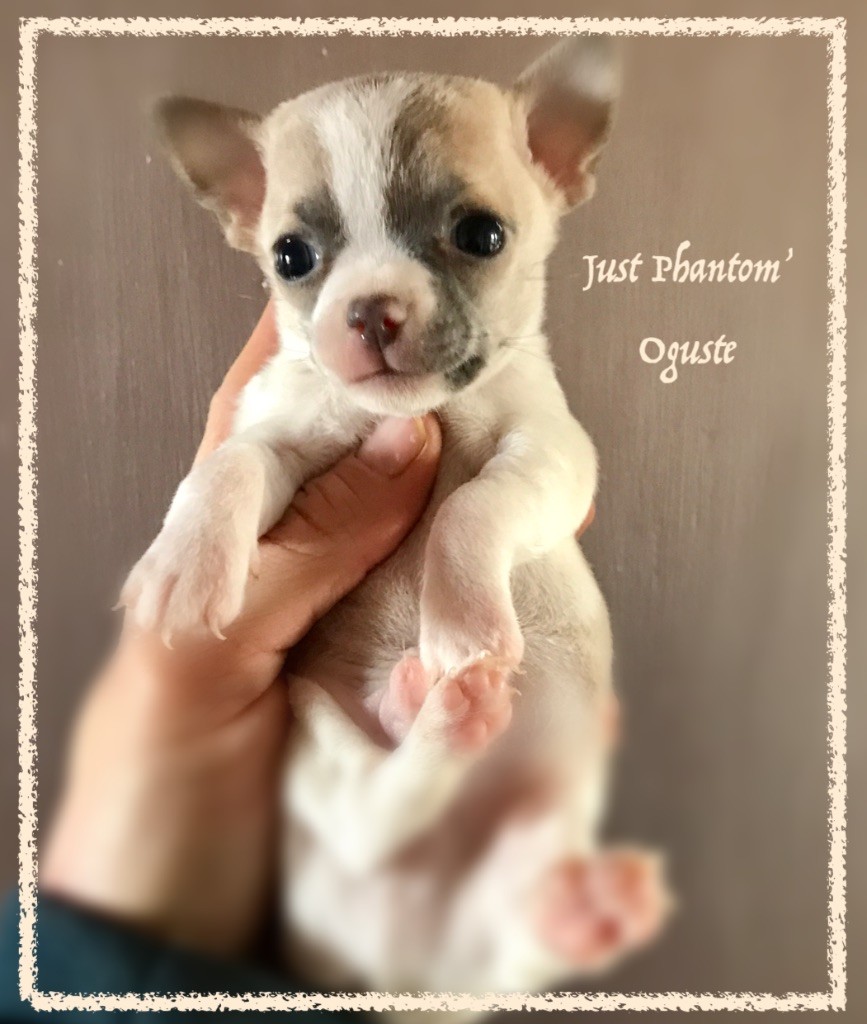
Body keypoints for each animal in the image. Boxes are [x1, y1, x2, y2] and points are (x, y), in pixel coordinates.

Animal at [122, 37, 672, 1002]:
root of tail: (405, 973)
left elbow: (469, 505)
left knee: (520, 926)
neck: (423, 414)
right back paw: (427, 709)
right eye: (291, 256)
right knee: (369, 815)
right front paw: (182, 564)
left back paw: (578, 892)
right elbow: (228, 467)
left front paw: (459, 618)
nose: (368, 309)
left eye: (482, 235)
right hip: (313, 740)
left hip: (542, 825)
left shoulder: (550, 455)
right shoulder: (278, 434)